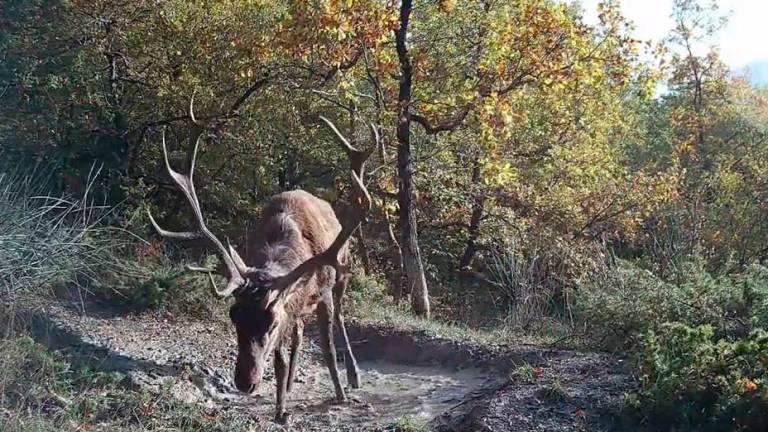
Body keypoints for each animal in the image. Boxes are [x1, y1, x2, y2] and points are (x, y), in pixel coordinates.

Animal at [147, 97, 376, 422]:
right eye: (234, 317)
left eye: (270, 323)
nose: (244, 381)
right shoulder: (288, 304)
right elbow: (280, 359)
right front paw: (281, 409)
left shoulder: (319, 294)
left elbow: (328, 347)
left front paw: (340, 394)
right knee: (299, 332)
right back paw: (291, 381)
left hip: (342, 273)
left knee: (340, 319)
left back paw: (353, 376)